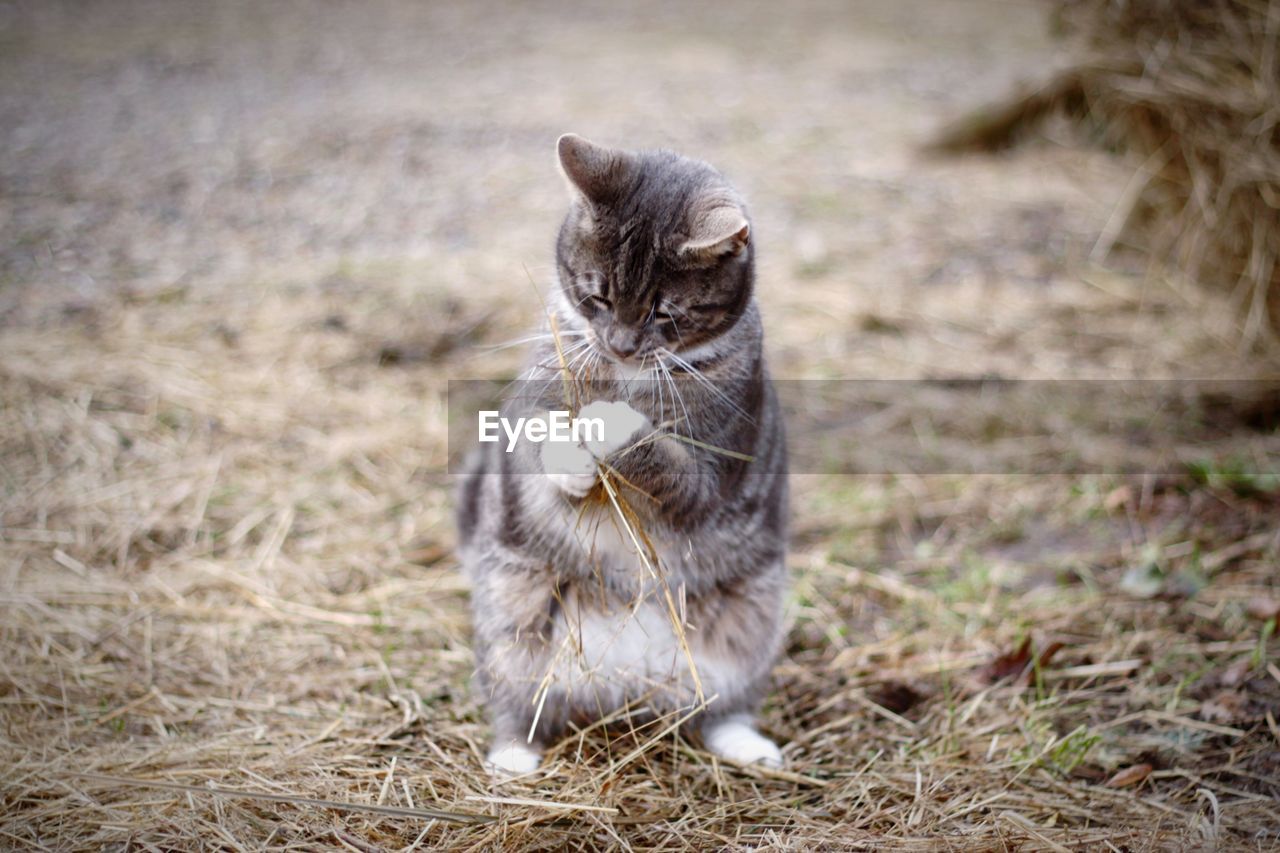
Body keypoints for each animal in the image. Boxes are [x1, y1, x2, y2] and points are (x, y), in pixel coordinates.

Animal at [455, 131, 783, 768]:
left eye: (664, 311)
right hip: (511, 612)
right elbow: (539, 442)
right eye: (597, 297)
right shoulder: (535, 398)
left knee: (722, 707)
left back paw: (747, 746)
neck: (630, 376)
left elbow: (670, 464)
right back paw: (512, 759)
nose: (622, 346)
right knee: (516, 702)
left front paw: (611, 425)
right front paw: (572, 458)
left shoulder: (716, 464)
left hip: (753, 617)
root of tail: (625, 687)